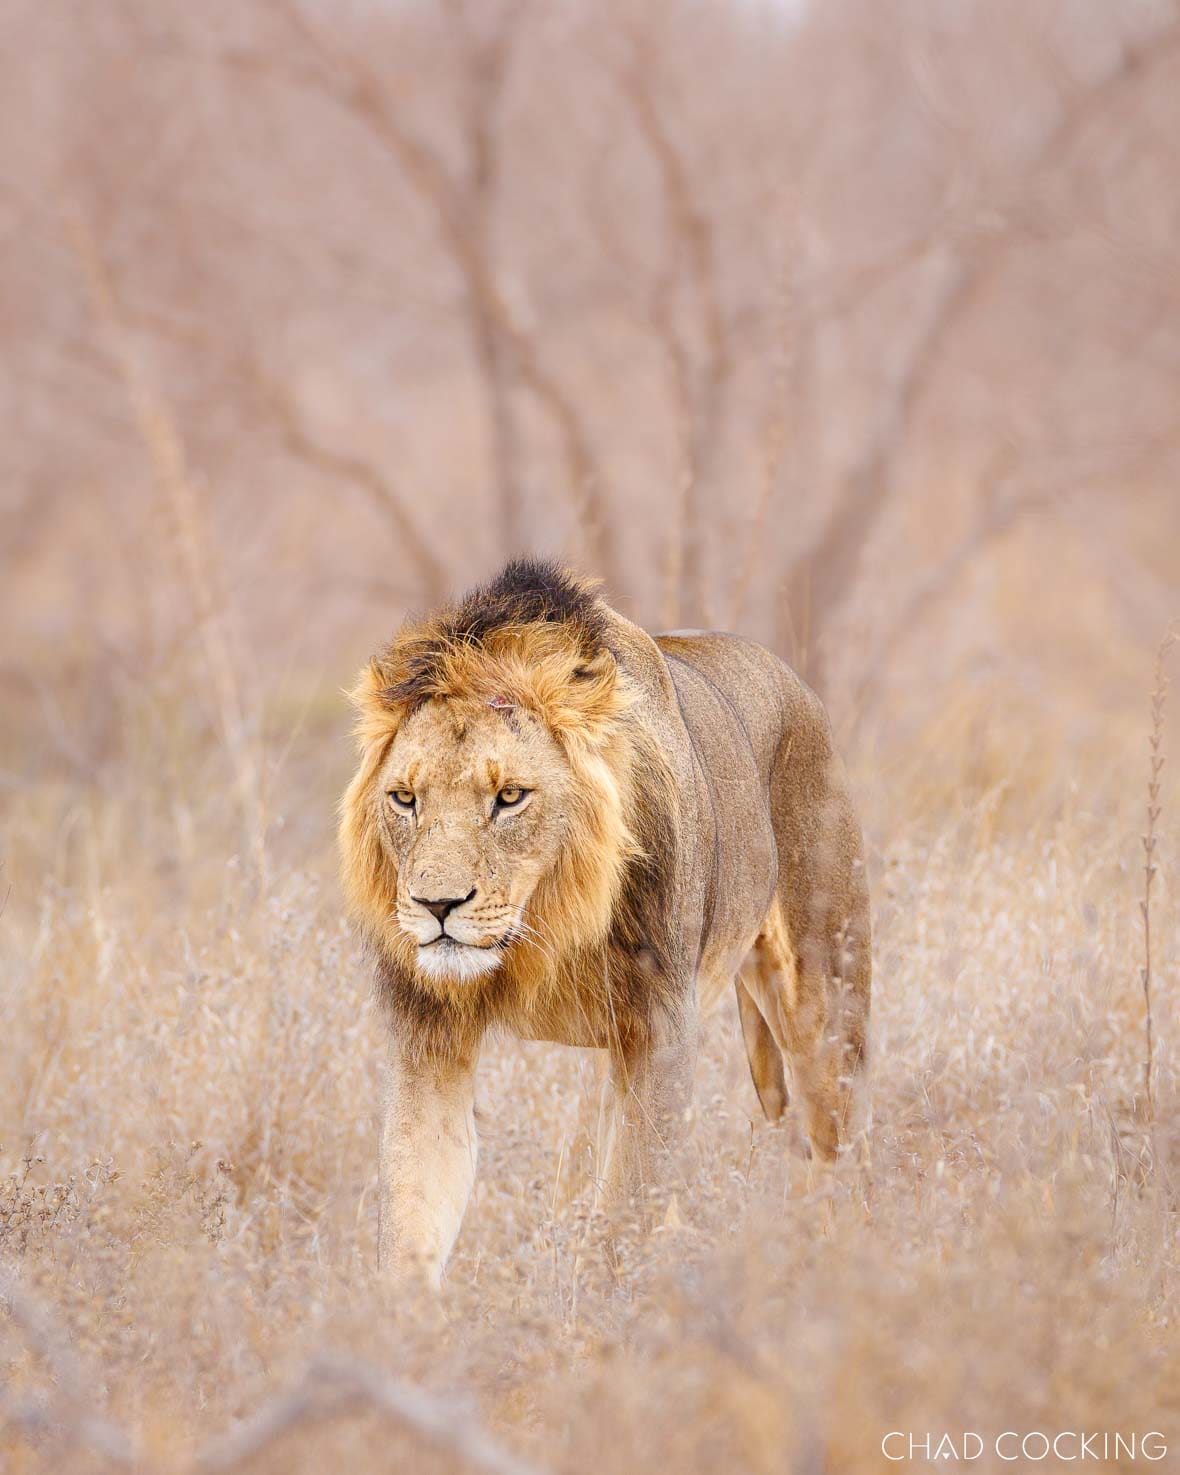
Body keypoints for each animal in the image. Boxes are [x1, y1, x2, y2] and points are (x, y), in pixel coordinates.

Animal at [340, 559, 871, 1286]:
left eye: (509, 797)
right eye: (404, 798)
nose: (435, 906)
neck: (544, 929)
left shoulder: (662, 1033)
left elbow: (627, 1208)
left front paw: (602, 1302)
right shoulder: (430, 1044)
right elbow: (412, 1214)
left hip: (826, 1010)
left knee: (839, 1147)